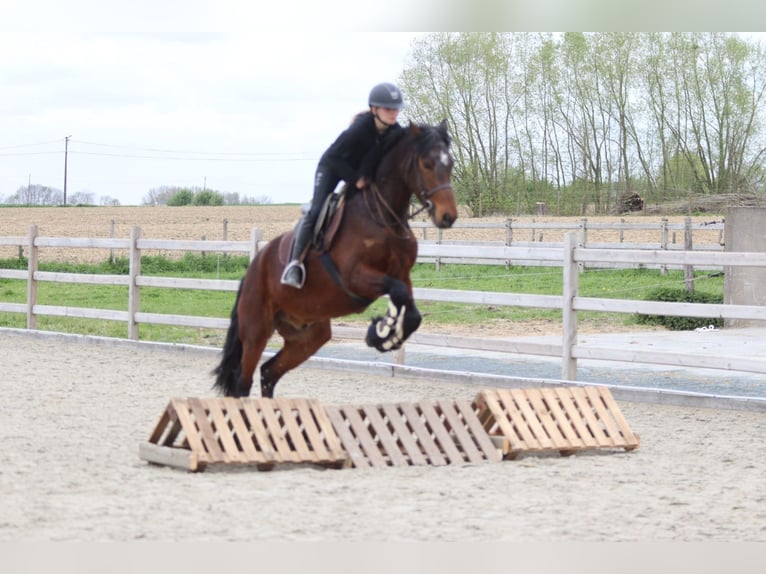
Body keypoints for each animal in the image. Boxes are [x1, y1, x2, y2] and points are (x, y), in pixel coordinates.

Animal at [212, 120, 458, 398]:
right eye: (427, 164)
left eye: (450, 163)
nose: (448, 216)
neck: (382, 217)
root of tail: (253, 267)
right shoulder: (355, 277)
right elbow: (397, 293)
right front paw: (381, 331)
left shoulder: (402, 276)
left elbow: (411, 310)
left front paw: (383, 335)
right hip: (256, 330)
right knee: (243, 383)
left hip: (308, 335)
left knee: (268, 372)